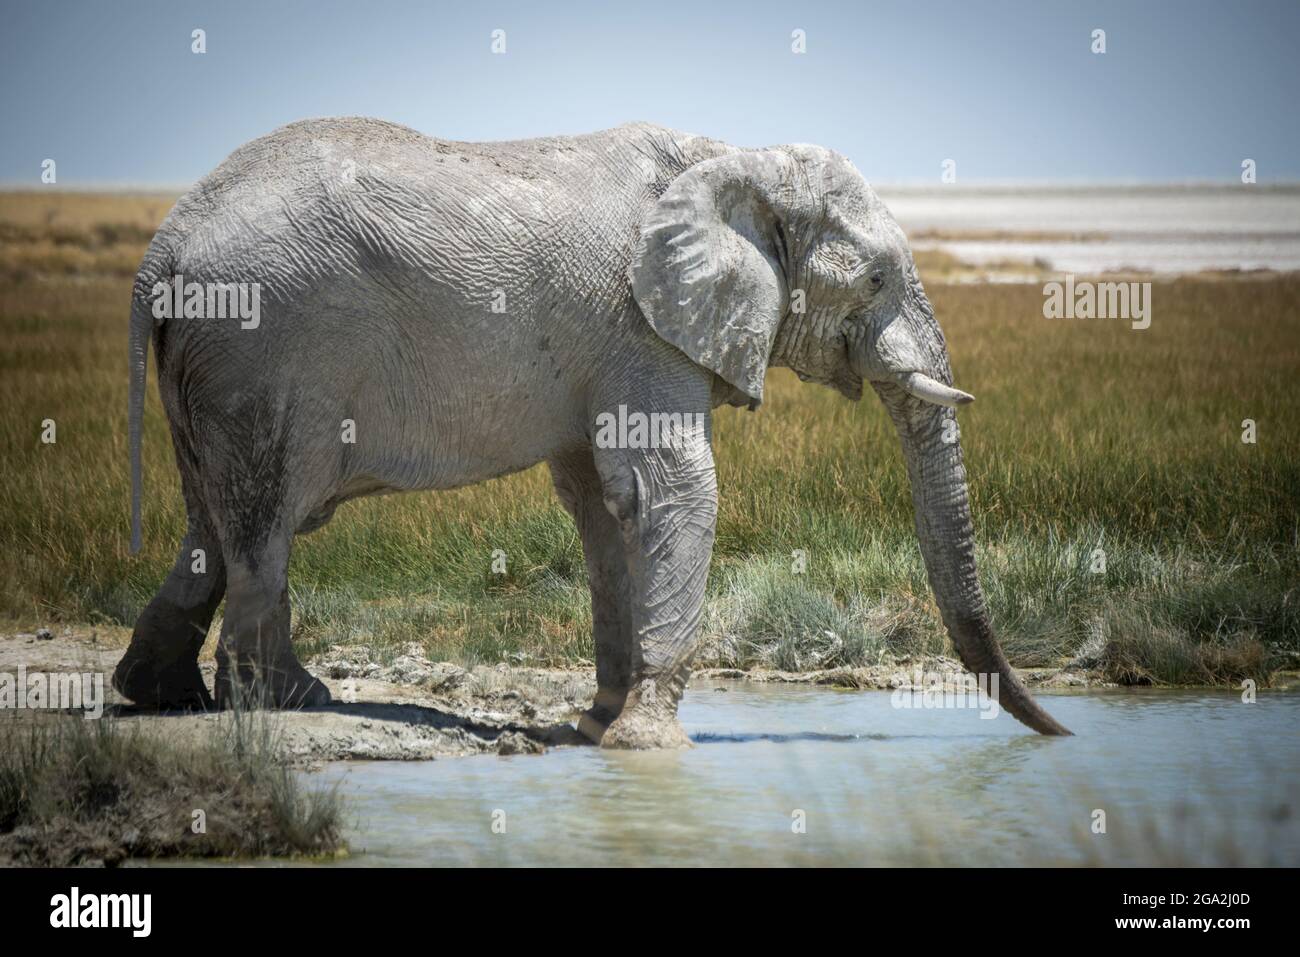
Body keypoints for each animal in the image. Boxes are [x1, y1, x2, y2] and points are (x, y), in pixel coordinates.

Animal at [116, 119, 1071, 743]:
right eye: (874, 278)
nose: (1060, 732)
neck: (734, 157)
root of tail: (164, 242)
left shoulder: (609, 346)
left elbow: (602, 503)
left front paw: (601, 723)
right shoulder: (640, 325)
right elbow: (674, 489)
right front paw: (649, 744)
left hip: (212, 367)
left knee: (213, 524)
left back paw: (162, 696)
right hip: (262, 347)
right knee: (264, 524)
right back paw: (287, 699)